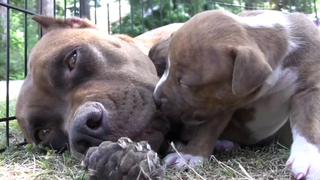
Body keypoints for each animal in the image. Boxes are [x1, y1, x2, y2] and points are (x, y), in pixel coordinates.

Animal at [152, 9, 320, 179]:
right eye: (166, 67)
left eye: (185, 82)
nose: (155, 98)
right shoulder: (221, 102)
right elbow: (207, 129)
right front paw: (190, 155)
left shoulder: (309, 89)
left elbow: (308, 123)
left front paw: (308, 158)